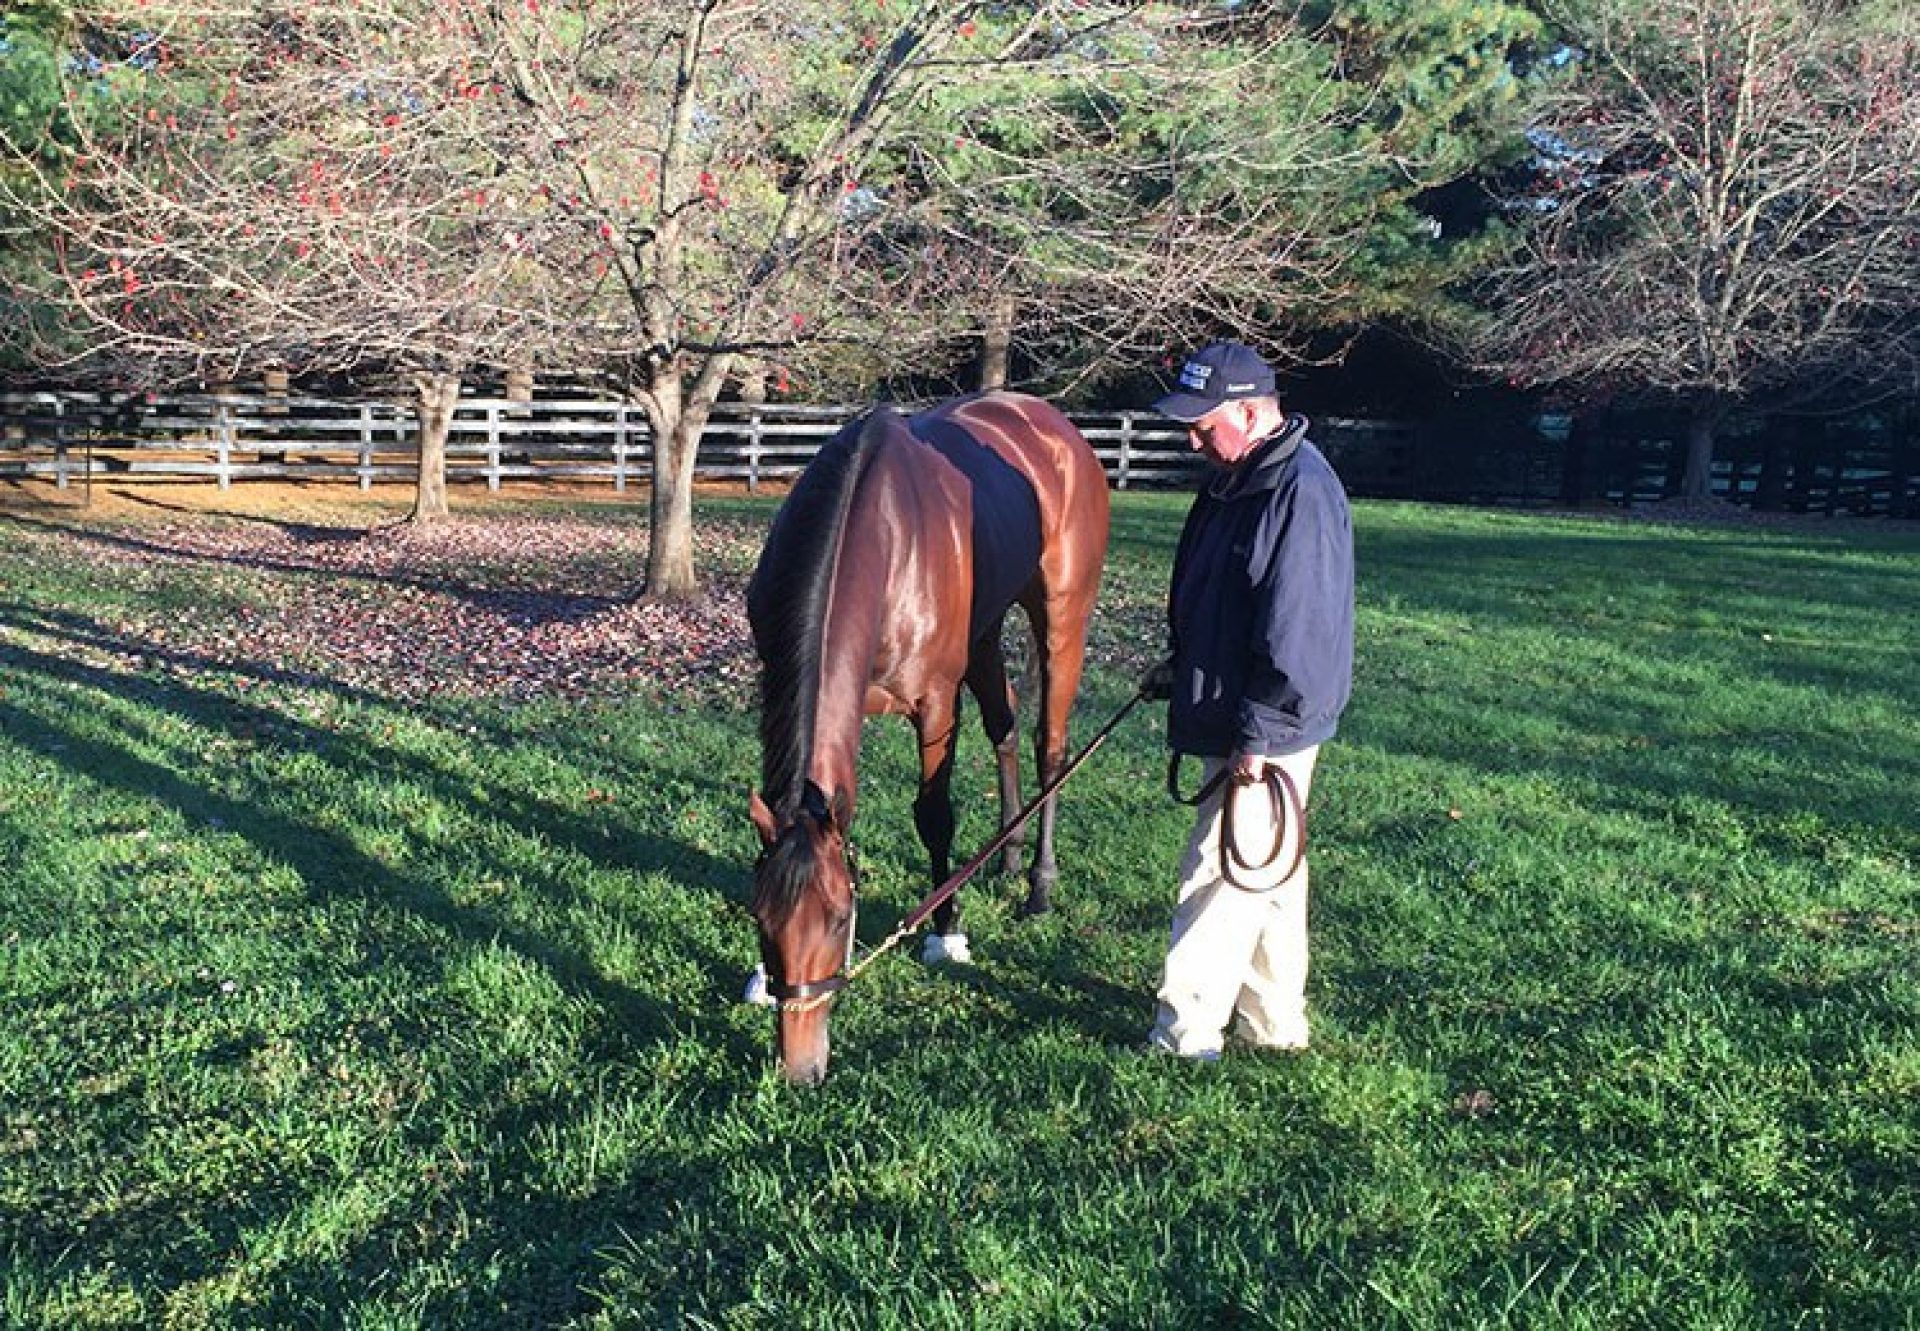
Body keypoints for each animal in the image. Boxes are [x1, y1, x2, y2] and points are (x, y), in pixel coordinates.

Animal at [744, 389, 1113, 1083]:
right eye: (762, 917)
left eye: (841, 918)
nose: (801, 1067)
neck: (881, 536)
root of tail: (1054, 427)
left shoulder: (936, 703)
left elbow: (934, 815)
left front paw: (947, 928)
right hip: (986, 631)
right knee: (1005, 727)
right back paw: (1007, 855)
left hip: (1061, 620)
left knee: (1050, 749)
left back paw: (1038, 887)